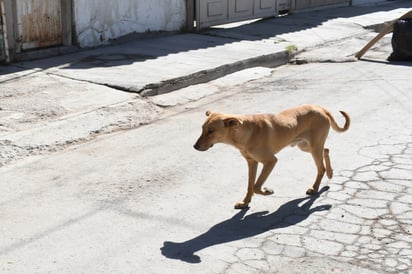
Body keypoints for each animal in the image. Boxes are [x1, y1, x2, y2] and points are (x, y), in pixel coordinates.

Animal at [195, 104, 350, 209]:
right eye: (202, 129)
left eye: (211, 131)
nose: (195, 147)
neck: (245, 132)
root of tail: (321, 108)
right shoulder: (252, 162)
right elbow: (250, 185)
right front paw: (245, 202)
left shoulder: (270, 161)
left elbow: (256, 186)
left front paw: (266, 191)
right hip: (305, 146)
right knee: (326, 150)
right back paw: (330, 173)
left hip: (313, 147)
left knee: (320, 168)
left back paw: (316, 187)